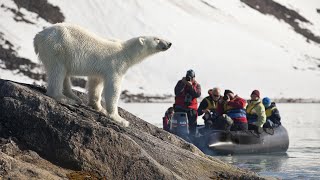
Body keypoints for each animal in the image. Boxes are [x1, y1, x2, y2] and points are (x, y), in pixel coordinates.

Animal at [33, 22, 171, 126]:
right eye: (157, 39)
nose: (169, 43)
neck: (125, 51)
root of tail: (38, 36)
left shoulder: (99, 71)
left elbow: (96, 84)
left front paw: (99, 108)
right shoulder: (115, 65)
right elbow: (113, 88)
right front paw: (120, 119)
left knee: (64, 74)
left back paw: (74, 97)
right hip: (58, 48)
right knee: (58, 71)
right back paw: (64, 98)